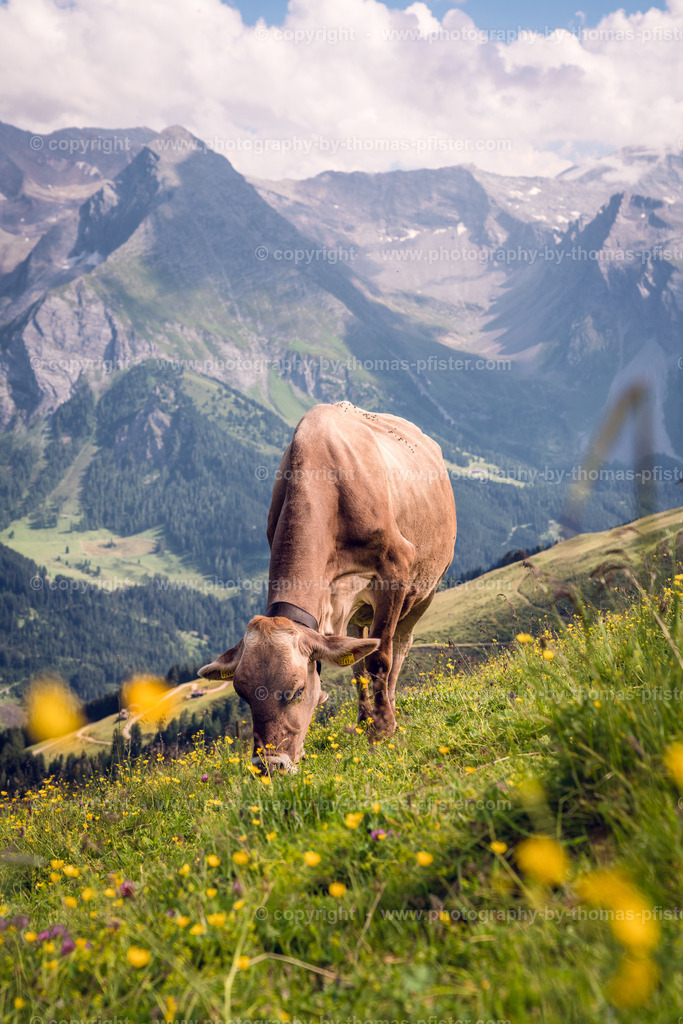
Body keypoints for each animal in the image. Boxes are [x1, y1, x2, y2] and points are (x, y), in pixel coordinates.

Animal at [198, 401, 456, 773]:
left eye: (295, 690)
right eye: (242, 694)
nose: (269, 766)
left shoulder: (395, 571)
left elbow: (380, 658)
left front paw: (382, 730)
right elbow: (360, 662)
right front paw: (369, 724)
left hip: (424, 590)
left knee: (399, 646)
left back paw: (388, 712)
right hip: (360, 610)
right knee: (359, 657)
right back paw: (364, 718)